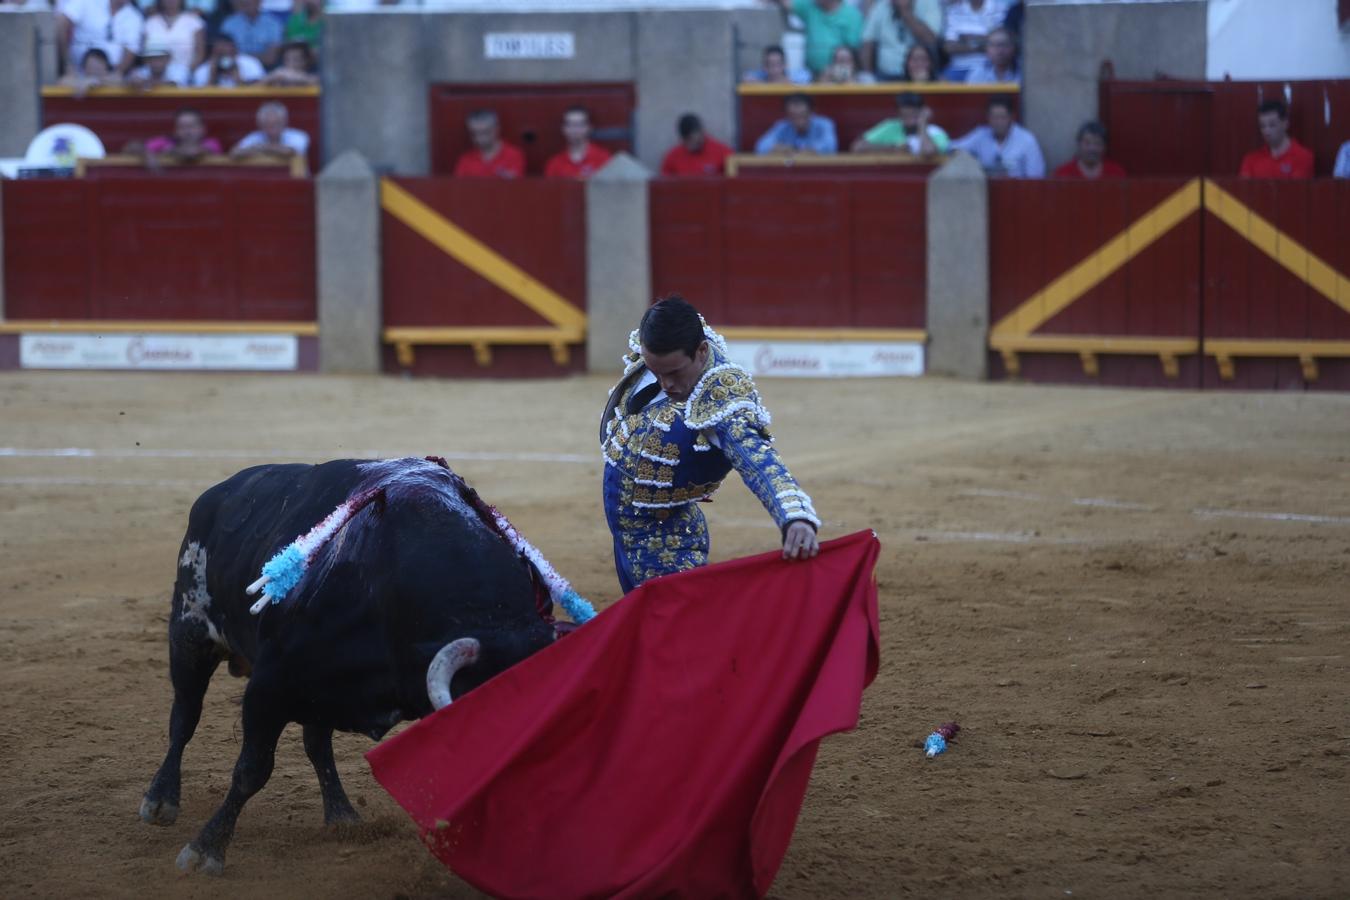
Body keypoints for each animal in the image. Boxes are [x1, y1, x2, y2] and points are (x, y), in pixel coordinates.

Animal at [139, 458, 556, 874]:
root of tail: (216, 495)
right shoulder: (268, 688)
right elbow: (251, 770)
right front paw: (205, 849)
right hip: (189, 635)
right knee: (185, 717)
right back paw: (160, 800)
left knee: (317, 745)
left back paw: (342, 815)